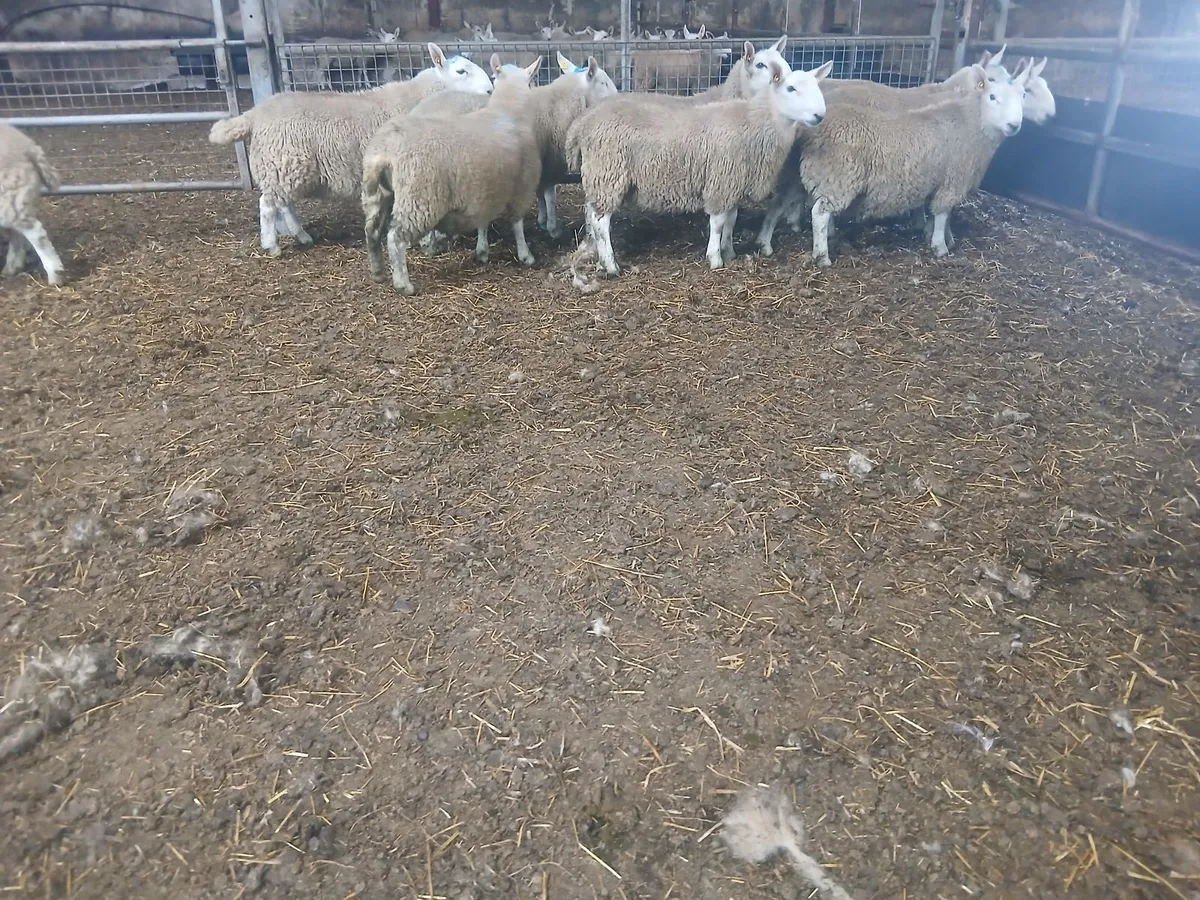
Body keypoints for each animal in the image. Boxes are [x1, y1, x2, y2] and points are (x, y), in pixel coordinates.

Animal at [0, 122, 65, 287]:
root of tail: (27, 145)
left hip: (8, 196)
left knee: (36, 233)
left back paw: (55, 274)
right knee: (17, 233)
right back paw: (11, 267)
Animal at [208, 43, 493, 257]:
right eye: (461, 71)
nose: (491, 89)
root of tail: (255, 114)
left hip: (285, 167)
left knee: (284, 204)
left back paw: (302, 236)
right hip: (283, 163)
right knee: (267, 205)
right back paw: (272, 245)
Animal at [361, 55, 545, 296]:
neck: (507, 111)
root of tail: (385, 151)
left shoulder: (485, 188)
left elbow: (483, 222)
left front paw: (482, 251)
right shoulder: (523, 185)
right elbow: (517, 224)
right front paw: (525, 255)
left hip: (376, 193)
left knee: (372, 231)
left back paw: (377, 272)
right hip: (419, 198)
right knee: (395, 238)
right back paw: (403, 284)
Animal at [566, 60, 832, 274]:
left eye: (817, 87)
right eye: (791, 88)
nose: (820, 115)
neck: (755, 122)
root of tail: (582, 123)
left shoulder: (733, 182)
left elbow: (731, 219)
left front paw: (729, 251)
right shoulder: (721, 179)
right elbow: (718, 222)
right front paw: (715, 258)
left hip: (599, 175)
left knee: (591, 213)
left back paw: (597, 254)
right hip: (608, 172)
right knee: (601, 221)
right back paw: (611, 265)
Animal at [794, 63, 1029, 268]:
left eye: (1023, 96)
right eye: (993, 96)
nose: (1014, 125)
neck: (971, 122)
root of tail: (815, 132)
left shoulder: (938, 180)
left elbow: (940, 213)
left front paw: (941, 235)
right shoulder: (953, 180)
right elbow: (942, 213)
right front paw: (940, 246)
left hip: (829, 179)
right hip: (840, 179)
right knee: (819, 214)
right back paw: (822, 256)